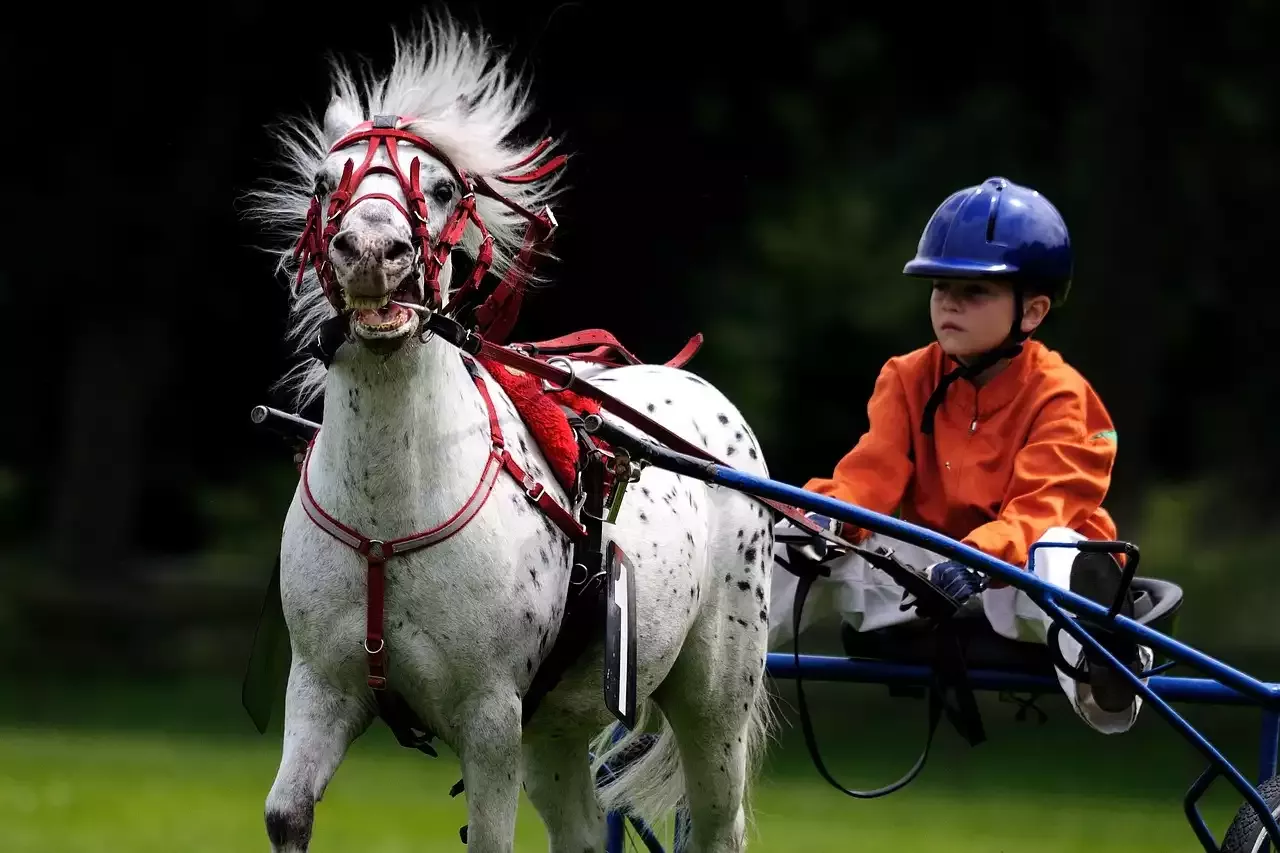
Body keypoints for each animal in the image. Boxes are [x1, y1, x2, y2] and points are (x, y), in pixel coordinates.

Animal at [245, 14, 773, 850]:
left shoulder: (490, 713)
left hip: (715, 696)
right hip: (555, 727)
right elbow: (287, 812)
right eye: (329, 184)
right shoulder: (321, 685)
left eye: (438, 188)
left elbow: (491, 835)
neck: (390, 513)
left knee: (720, 820)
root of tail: (703, 393)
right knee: (583, 830)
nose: (372, 252)